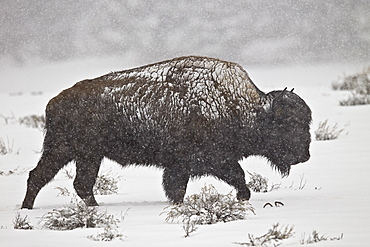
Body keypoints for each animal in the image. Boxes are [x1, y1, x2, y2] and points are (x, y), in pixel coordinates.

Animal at [21, 55, 312, 208]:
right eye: (289, 124)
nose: (305, 155)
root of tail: (55, 101)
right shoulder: (209, 160)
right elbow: (236, 176)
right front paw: (243, 197)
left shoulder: (183, 165)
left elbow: (180, 187)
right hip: (66, 150)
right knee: (42, 177)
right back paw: (29, 209)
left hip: (86, 155)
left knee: (75, 182)